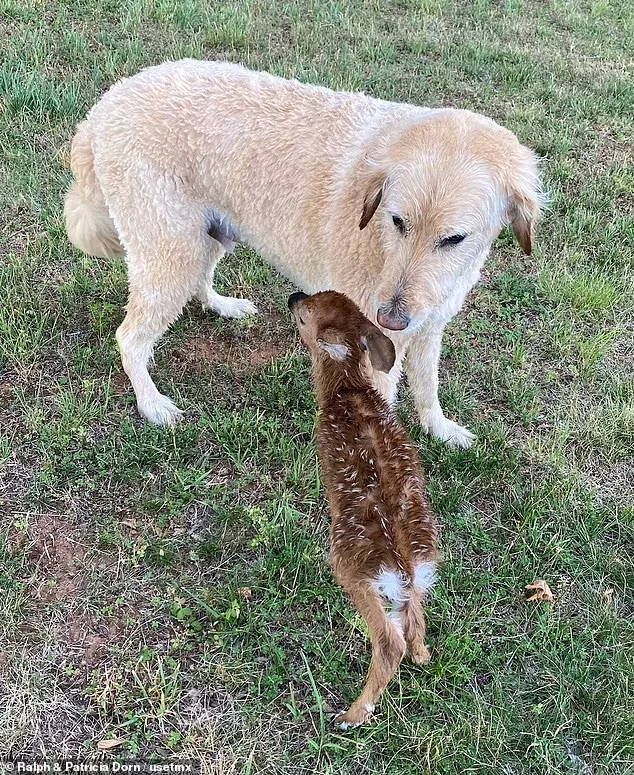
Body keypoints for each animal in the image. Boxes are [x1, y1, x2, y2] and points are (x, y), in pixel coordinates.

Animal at [64, 59, 540, 448]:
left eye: (454, 239)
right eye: (398, 221)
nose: (391, 318)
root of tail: (106, 103)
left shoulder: (428, 327)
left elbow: (427, 386)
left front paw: (439, 428)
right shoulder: (378, 352)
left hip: (209, 236)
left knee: (199, 281)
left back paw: (221, 305)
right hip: (171, 252)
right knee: (130, 338)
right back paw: (151, 404)